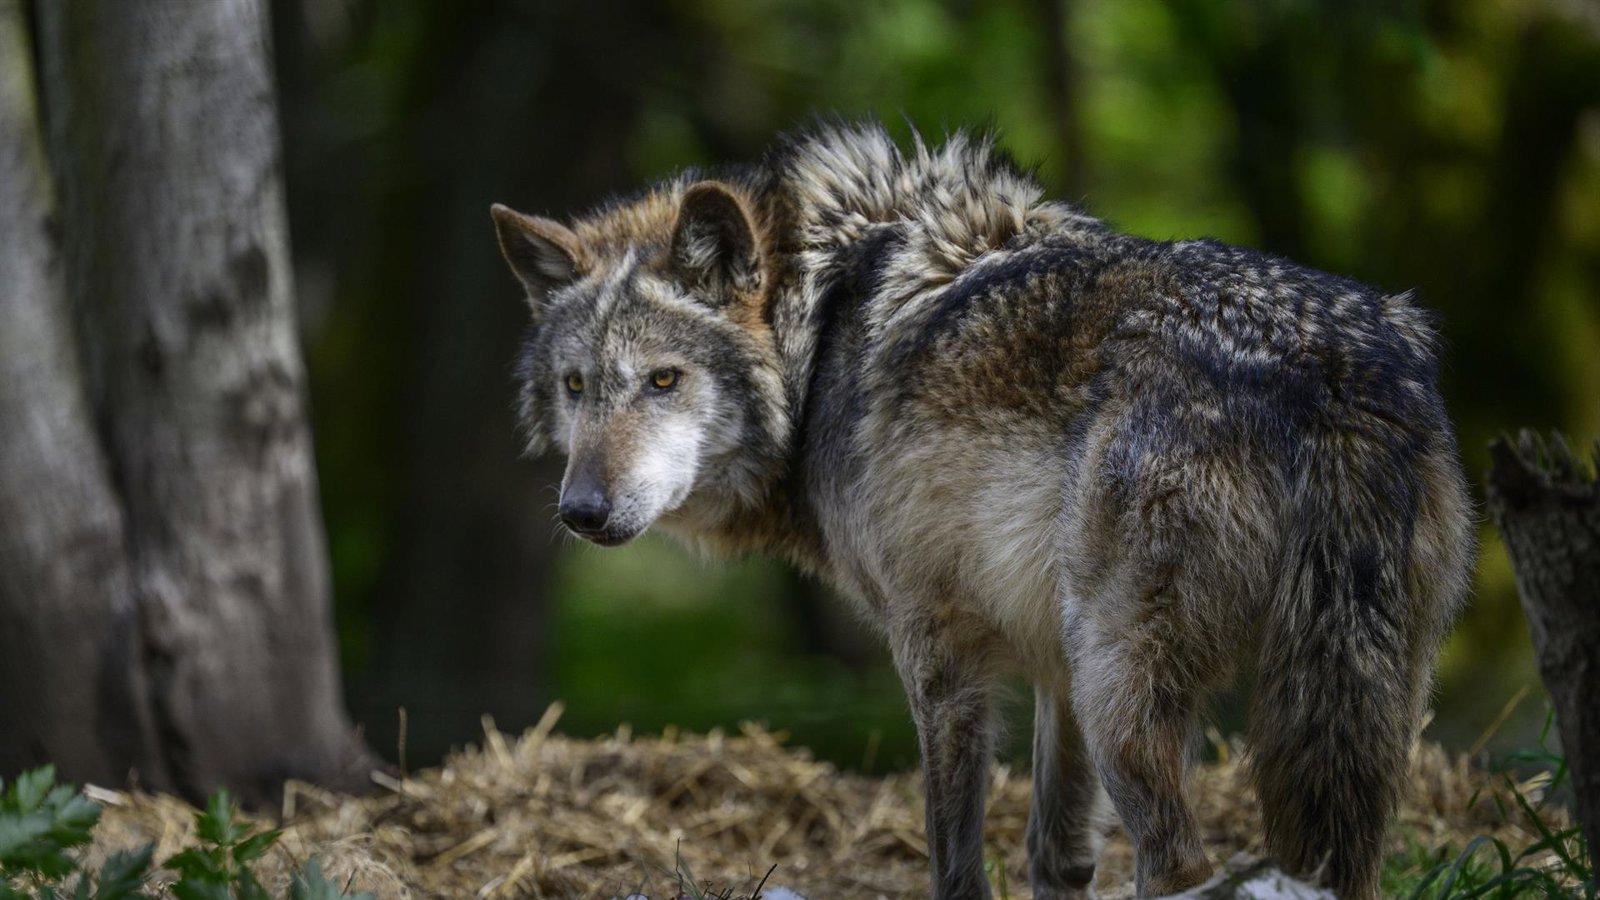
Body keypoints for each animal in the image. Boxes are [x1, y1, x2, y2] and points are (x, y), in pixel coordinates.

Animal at [489, 121, 1474, 899]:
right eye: (577, 387)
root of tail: (1330, 370)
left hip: (1126, 697)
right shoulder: (1050, 667)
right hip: (1347, 712)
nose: (582, 510)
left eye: (663, 381)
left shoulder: (937, 651)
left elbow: (955, 863)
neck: (822, 324)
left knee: (1180, 864)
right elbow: (1055, 859)